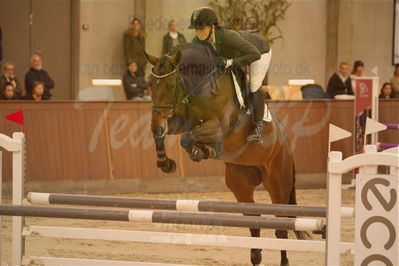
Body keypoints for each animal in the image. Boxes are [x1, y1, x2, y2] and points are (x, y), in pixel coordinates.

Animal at [146, 44, 310, 266]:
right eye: (150, 84)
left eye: (171, 85)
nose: (156, 123)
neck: (200, 85)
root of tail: (287, 144)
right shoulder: (179, 120)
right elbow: (170, 135)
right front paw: (167, 162)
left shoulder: (218, 127)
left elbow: (188, 137)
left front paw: (200, 151)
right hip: (240, 182)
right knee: (254, 220)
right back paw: (255, 256)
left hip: (278, 182)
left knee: (282, 227)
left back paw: (283, 261)